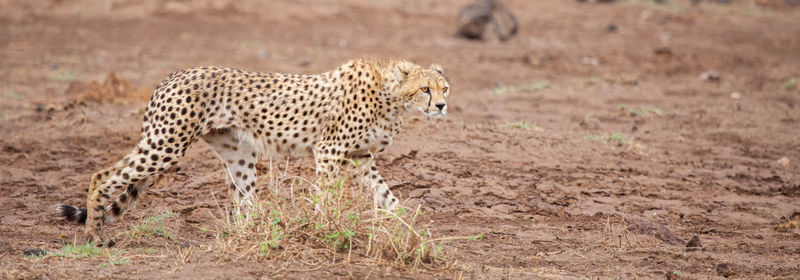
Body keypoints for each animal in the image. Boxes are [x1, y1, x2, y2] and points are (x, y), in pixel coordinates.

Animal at [57, 59, 450, 245]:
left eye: (444, 87)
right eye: (425, 89)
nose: (443, 106)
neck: (393, 98)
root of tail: (173, 75)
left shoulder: (360, 159)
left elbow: (388, 198)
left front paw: (414, 232)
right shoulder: (329, 150)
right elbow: (327, 197)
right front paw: (324, 227)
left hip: (238, 152)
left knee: (243, 202)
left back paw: (259, 231)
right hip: (166, 145)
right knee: (103, 175)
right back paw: (93, 235)